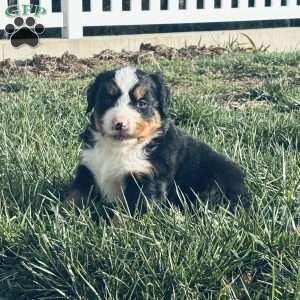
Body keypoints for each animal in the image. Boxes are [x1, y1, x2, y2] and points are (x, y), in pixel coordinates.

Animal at [66, 67, 248, 214]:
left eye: (142, 103)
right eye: (107, 100)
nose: (120, 123)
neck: (120, 147)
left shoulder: (146, 180)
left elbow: (128, 214)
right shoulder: (88, 168)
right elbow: (72, 197)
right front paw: (62, 218)